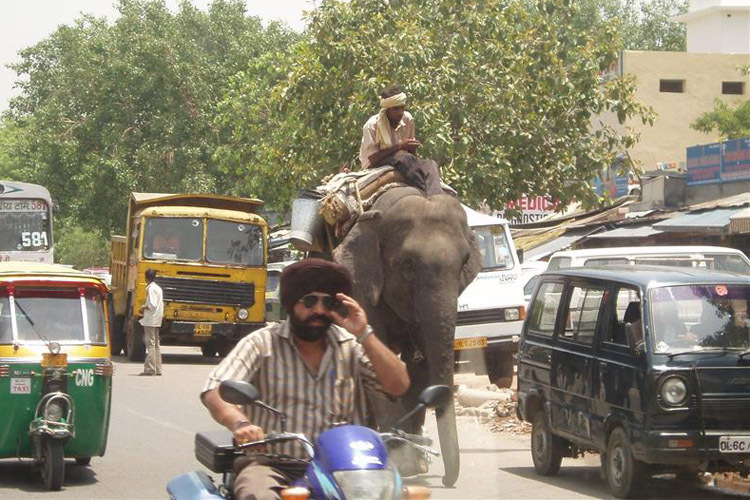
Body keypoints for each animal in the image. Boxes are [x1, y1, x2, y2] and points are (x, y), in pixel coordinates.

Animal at [334, 186, 482, 486]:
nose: (446, 481)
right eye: (408, 265)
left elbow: (419, 361)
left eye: (464, 262)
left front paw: (416, 463)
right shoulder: (360, 282)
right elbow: (373, 354)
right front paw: (403, 462)